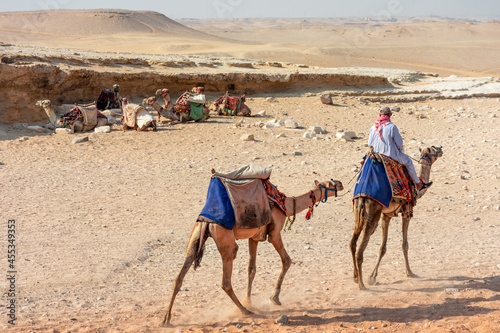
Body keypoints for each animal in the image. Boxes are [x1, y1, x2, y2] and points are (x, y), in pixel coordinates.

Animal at [163, 176, 344, 324]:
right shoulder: (274, 233)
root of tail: (207, 221)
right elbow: (287, 260)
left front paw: (249, 301)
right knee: (225, 281)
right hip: (226, 243)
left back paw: (166, 319)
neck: (285, 204)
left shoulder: (254, 237)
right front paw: (274, 298)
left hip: (196, 236)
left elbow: (251, 269)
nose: (341, 184)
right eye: (330, 183)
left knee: (179, 277)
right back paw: (244, 311)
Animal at [350, 145, 444, 288]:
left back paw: (355, 278)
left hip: (358, 212)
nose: (440, 149)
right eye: (433, 149)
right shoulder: (407, 211)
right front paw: (410, 272)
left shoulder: (386, 215)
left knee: (352, 244)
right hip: (373, 214)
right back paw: (362, 286)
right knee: (360, 251)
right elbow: (404, 245)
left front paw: (372, 276)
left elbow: (382, 248)